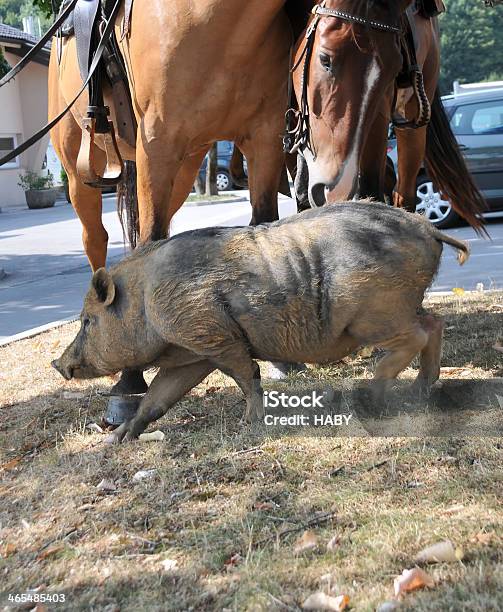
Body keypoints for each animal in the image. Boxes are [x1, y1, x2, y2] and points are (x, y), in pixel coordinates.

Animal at [52, 203, 468, 442]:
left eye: (87, 321)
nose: (58, 363)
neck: (145, 302)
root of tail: (427, 227)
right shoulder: (193, 353)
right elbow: (158, 397)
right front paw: (116, 440)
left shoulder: (214, 336)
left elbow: (246, 375)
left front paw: (248, 425)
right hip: (401, 306)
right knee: (434, 323)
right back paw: (419, 392)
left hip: (376, 314)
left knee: (416, 335)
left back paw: (372, 396)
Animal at [292, 0, 488, 232]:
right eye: (325, 59)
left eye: (392, 72)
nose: (333, 189)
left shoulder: (378, 114)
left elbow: (371, 188)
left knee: (402, 192)